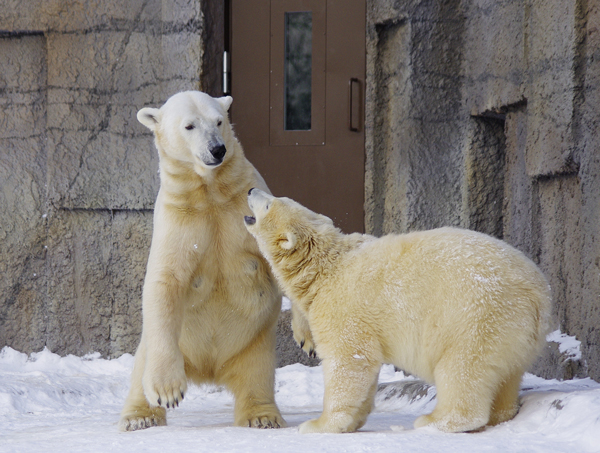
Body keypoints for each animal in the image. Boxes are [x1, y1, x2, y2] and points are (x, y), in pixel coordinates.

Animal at [119, 91, 286, 430]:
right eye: (189, 126)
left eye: (219, 121)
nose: (217, 149)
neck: (210, 191)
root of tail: (210, 372)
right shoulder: (178, 219)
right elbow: (165, 280)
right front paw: (168, 393)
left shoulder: (244, 208)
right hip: (167, 346)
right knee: (142, 368)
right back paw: (139, 417)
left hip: (256, 342)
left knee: (257, 375)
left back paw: (262, 416)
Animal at [241, 188, 552, 434]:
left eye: (270, 203)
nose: (251, 189)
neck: (323, 268)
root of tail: (539, 295)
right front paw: (353, 422)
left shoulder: (343, 306)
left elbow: (348, 360)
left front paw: (318, 424)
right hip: (513, 332)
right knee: (507, 375)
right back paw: (499, 415)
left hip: (476, 315)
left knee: (462, 367)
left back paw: (432, 421)